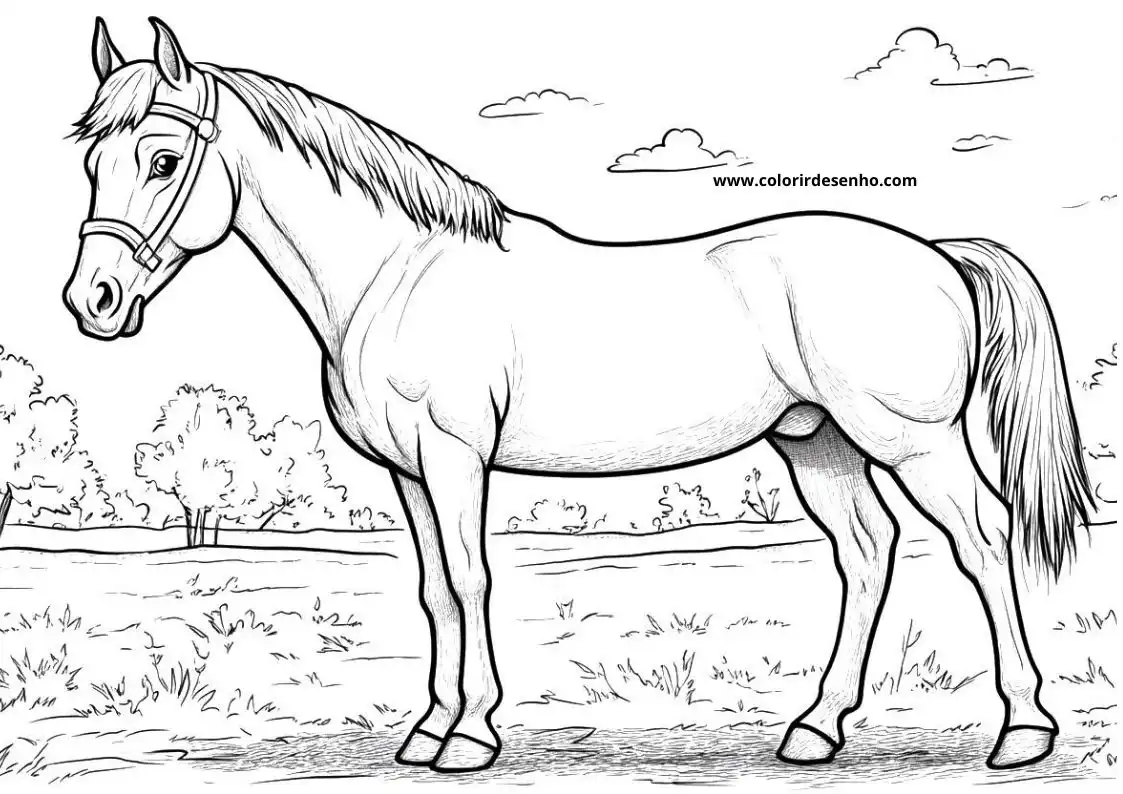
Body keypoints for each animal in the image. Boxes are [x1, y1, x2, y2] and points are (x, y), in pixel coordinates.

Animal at [64, 18, 1092, 775]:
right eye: (92, 161)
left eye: (162, 160)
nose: (93, 302)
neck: (403, 270)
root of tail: (936, 253)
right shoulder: (407, 473)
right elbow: (433, 590)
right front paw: (426, 733)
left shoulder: (453, 457)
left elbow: (471, 578)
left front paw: (470, 738)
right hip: (818, 442)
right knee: (866, 553)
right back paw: (814, 730)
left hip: (912, 442)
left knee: (981, 540)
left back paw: (1022, 731)